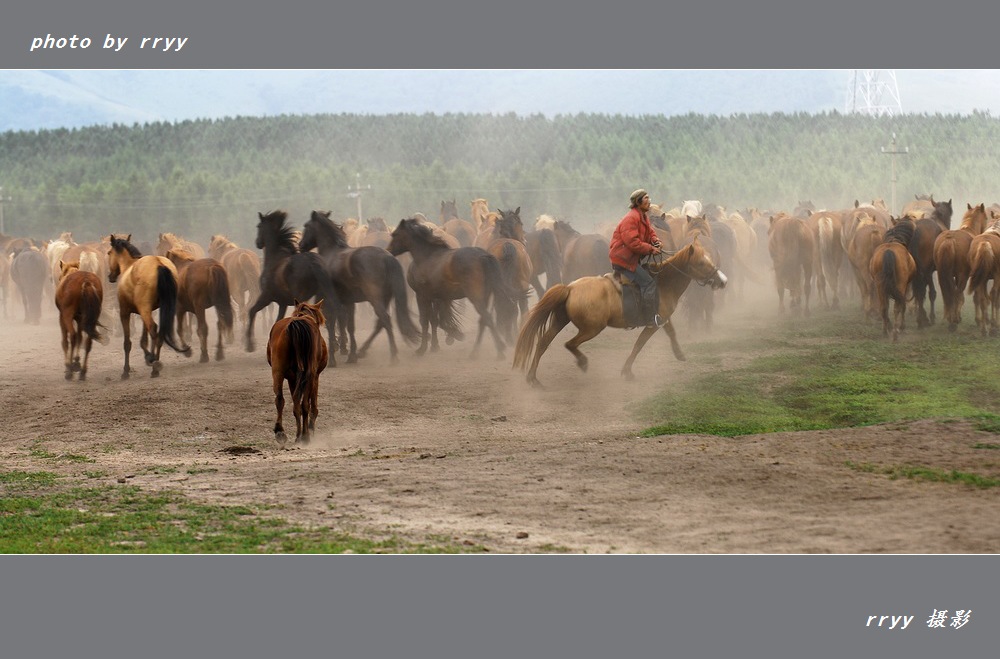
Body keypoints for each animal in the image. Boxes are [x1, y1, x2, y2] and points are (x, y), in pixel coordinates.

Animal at [106, 235, 192, 378]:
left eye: (109, 253)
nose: (110, 276)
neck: (129, 267)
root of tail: (159, 264)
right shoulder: (144, 311)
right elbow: (144, 339)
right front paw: (148, 356)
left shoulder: (125, 312)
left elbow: (128, 343)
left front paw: (126, 370)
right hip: (162, 308)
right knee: (159, 332)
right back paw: (155, 361)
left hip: (144, 310)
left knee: (154, 329)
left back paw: (155, 366)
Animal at [247, 210, 342, 366]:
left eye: (258, 226)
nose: (258, 243)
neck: (275, 259)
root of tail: (313, 261)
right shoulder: (282, 303)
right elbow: (277, 320)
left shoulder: (266, 297)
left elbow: (252, 311)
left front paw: (249, 345)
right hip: (322, 295)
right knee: (331, 317)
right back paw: (332, 357)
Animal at [266, 300, 328, 446]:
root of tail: (295, 326)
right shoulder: (315, 376)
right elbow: (311, 405)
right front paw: (308, 430)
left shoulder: (291, 378)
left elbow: (295, 403)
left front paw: (298, 434)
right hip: (309, 375)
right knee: (305, 404)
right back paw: (305, 436)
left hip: (278, 371)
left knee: (280, 399)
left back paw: (280, 432)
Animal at [516, 240, 728, 390]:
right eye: (701, 262)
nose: (723, 280)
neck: (663, 283)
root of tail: (570, 288)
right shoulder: (653, 324)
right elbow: (639, 345)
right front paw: (627, 372)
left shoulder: (662, 319)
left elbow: (671, 332)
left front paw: (679, 353)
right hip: (592, 328)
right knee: (570, 344)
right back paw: (582, 362)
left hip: (560, 320)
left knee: (544, 342)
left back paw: (533, 378)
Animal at [932, 204, 988, 332]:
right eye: (986, 217)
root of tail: (949, 239)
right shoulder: (972, 277)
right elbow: (975, 298)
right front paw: (978, 320)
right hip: (962, 276)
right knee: (956, 294)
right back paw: (953, 322)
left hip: (943, 275)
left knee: (949, 295)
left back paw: (951, 318)